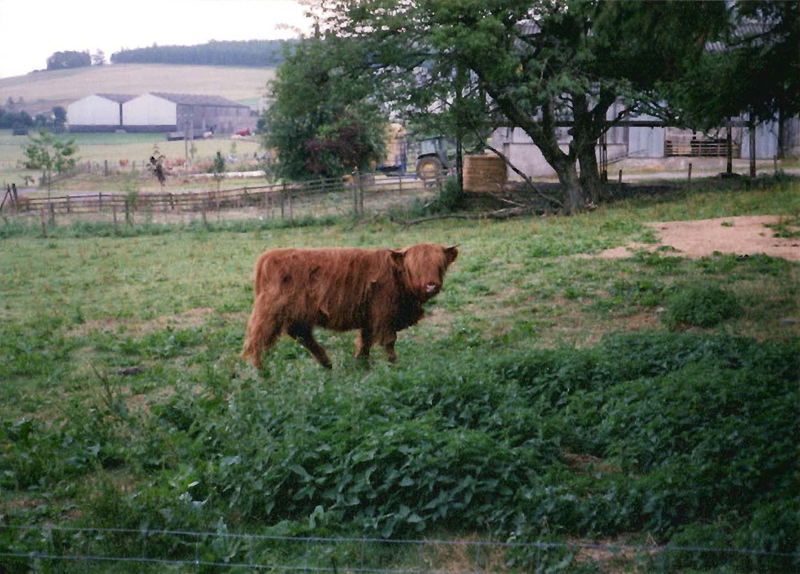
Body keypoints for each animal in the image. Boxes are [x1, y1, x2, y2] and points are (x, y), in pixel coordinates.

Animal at [241, 243, 459, 369]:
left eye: (439, 264)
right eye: (413, 266)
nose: (431, 285)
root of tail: (267, 258)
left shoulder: (370, 318)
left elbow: (365, 341)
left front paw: (361, 364)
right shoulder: (384, 315)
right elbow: (388, 342)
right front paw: (394, 366)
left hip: (297, 314)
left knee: (302, 335)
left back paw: (327, 364)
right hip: (269, 314)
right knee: (257, 342)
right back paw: (262, 374)